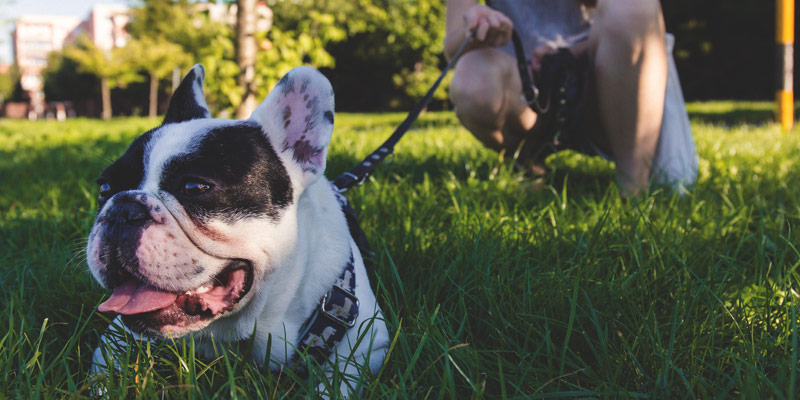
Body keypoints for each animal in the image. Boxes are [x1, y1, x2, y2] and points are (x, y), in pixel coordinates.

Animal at [86, 65, 390, 394]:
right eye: (104, 188)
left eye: (194, 187)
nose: (122, 210)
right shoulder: (116, 337)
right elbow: (102, 375)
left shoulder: (366, 348)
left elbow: (334, 385)